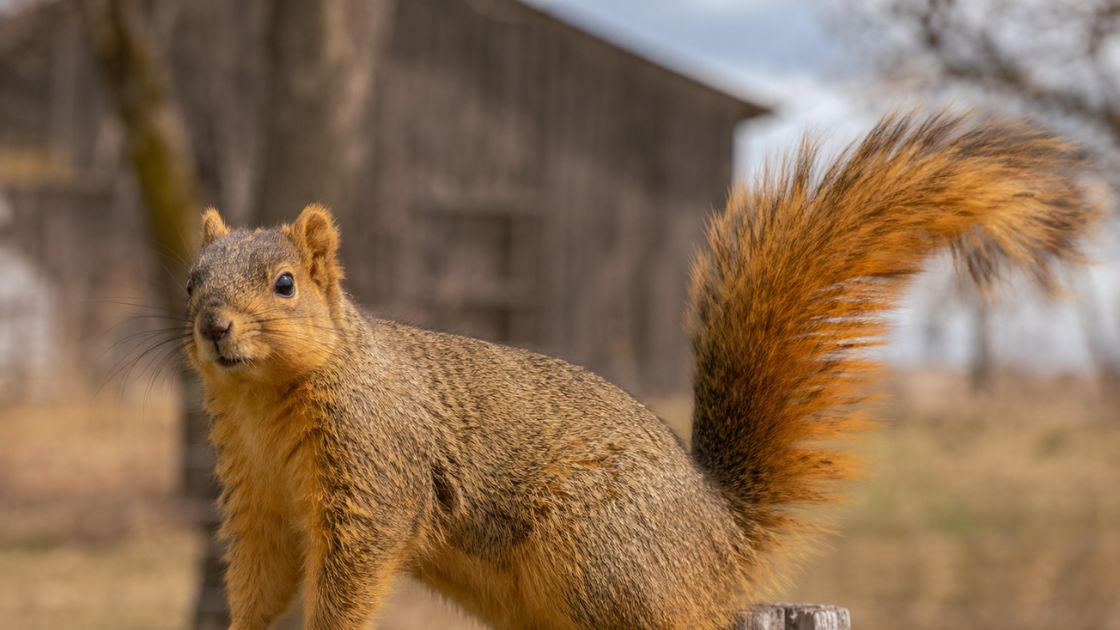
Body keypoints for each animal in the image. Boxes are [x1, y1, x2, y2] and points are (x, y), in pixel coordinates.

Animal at [184, 112, 1097, 630]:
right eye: (192, 278)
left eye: (285, 283)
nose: (213, 326)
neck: (266, 402)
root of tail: (720, 542)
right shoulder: (259, 501)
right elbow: (260, 580)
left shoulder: (373, 471)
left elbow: (353, 570)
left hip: (597, 549)